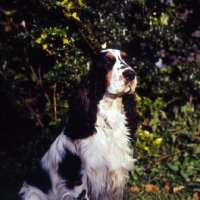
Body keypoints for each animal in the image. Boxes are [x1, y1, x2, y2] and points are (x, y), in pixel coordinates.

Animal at [18, 48, 138, 200]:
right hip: (33, 194)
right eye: (107, 61)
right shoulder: (79, 182)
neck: (108, 120)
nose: (130, 74)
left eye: (126, 59)